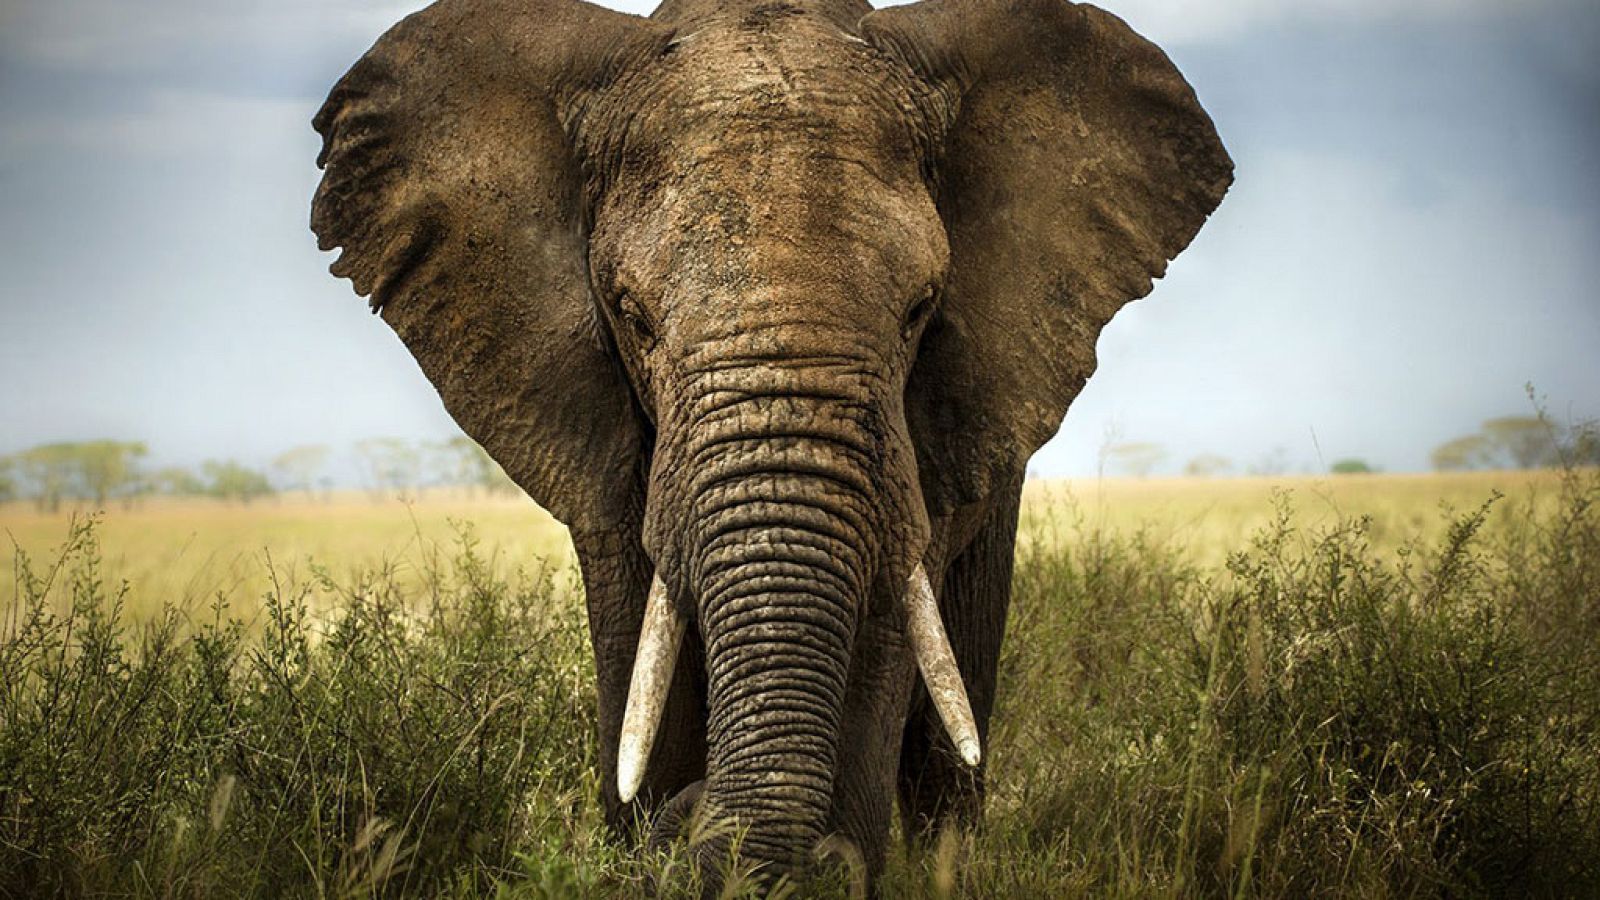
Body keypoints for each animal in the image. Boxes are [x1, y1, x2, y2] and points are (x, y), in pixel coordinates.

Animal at [311, 0, 1230, 888]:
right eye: (633, 317)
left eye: (920, 310)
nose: (692, 816)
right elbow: (637, 639)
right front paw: (652, 829)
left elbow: (885, 632)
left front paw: (825, 859)